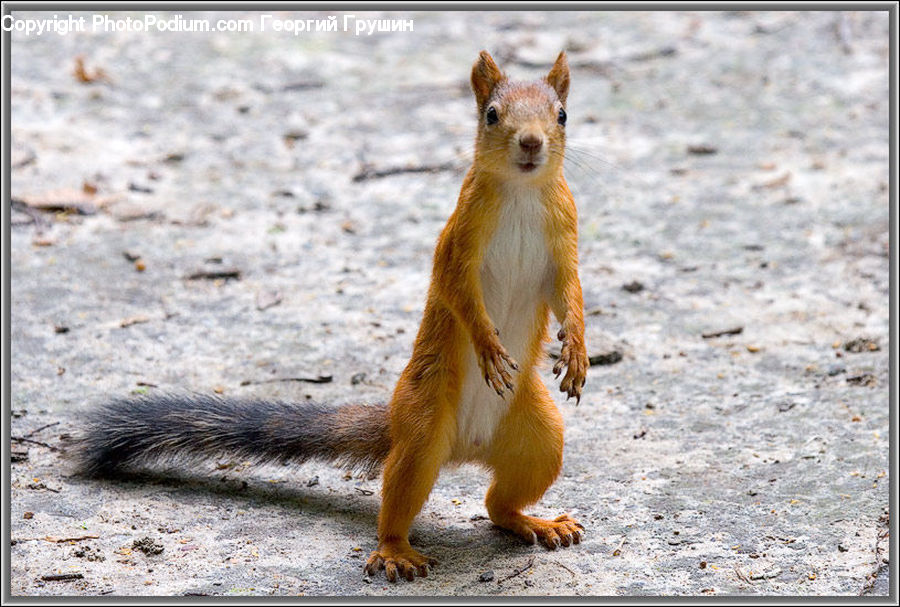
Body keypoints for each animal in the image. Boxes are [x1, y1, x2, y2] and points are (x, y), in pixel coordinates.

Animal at [75, 50, 588, 583]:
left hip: (540, 438)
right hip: (423, 424)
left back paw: (537, 522)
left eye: (562, 115)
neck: (522, 193)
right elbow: (458, 294)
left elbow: (569, 294)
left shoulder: (564, 239)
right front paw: (488, 345)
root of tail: (465, 446)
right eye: (491, 114)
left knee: (498, 505)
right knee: (402, 494)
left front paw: (577, 350)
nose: (530, 142)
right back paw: (395, 551)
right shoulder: (458, 241)